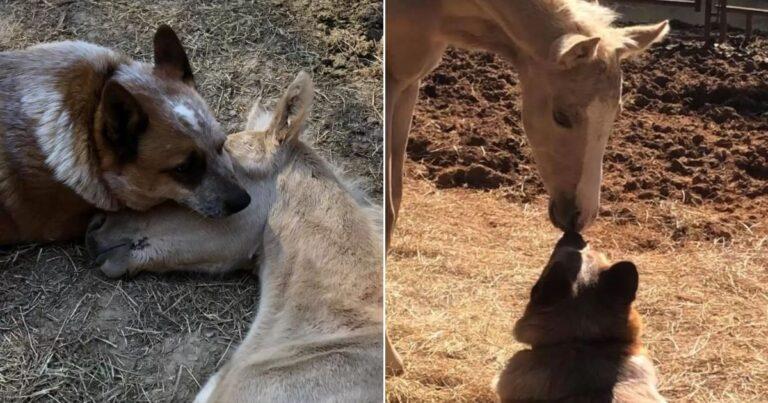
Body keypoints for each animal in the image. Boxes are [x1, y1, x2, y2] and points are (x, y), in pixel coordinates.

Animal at [388, 0, 668, 374]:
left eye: (615, 113)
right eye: (561, 116)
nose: (581, 216)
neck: (437, 11)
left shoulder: (409, 85)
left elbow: (395, 199)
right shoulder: (392, 82)